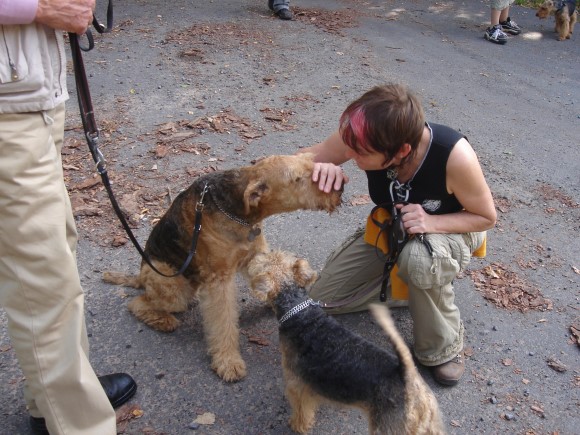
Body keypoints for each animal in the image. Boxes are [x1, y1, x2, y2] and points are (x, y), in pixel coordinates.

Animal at [104, 153, 342, 382]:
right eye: (297, 179)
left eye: (310, 161)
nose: (341, 185)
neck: (239, 212)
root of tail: (140, 274)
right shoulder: (219, 278)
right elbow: (223, 322)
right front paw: (229, 362)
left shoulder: (253, 254)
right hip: (173, 288)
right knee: (137, 302)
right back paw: (163, 320)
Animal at [248, 250, 444, 434]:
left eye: (265, 262)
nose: (258, 254)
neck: (299, 311)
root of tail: (406, 374)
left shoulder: (297, 385)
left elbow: (302, 411)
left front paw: (297, 426)